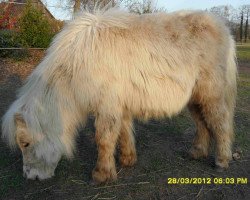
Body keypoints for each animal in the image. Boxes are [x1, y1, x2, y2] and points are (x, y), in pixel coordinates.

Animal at [1, 8, 236, 184]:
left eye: (26, 144)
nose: (30, 177)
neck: (77, 65)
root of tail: (223, 28)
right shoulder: (118, 105)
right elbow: (123, 132)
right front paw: (127, 160)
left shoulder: (107, 106)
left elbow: (104, 139)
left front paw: (101, 175)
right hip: (195, 99)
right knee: (202, 123)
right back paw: (197, 152)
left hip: (212, 95)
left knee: (220, 123)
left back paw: (222, 161)